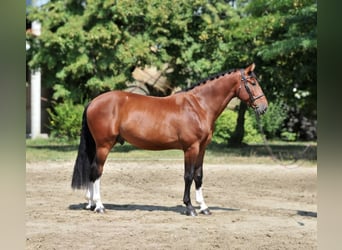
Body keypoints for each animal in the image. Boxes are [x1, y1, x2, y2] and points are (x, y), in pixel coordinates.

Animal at [71, 63, 268, 216]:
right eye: (252, 82)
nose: (264, 107)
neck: (198, 106)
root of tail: (93, 102)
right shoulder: (191, 148)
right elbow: (188, 176)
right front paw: (190, 208)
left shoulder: (202, 148)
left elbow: (199, 176)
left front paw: (204, 207)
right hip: (104, 146)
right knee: (96, 171)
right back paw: (99, 206)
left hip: (97, 146)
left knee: (91, 170)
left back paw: (90, 204)